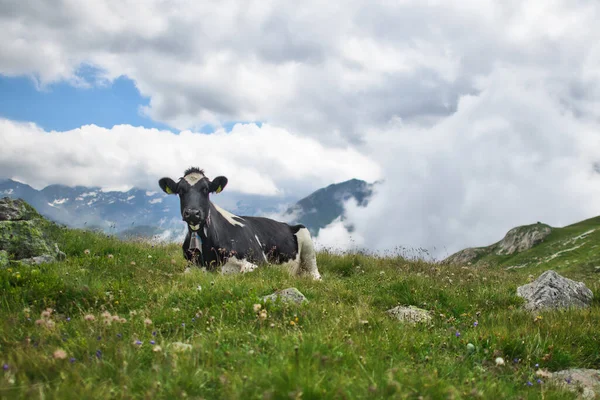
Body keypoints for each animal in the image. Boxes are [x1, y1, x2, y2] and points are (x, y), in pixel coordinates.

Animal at [157, 167, 322, 280]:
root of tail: (286, 224)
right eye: (180, 191)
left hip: (306, 238)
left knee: (315, 274)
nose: (192, 213)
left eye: (206, 189)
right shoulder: (190, 266)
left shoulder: (260, 263)